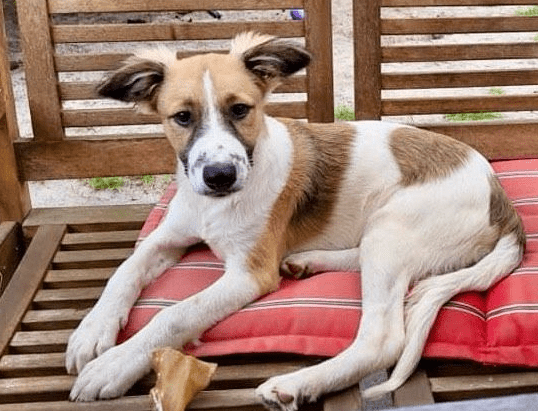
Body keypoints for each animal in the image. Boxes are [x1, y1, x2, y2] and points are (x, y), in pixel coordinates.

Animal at [65, 33, 520, 411]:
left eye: (241, 110)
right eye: (182, 117)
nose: (219, 176)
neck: (216, 205)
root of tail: (500, 197)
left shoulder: (249, 274)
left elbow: (175, 314)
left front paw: (114, 365)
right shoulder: (167, 237)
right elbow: (124, 271)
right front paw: (91, 331)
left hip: (393, 228)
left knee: (382, 339)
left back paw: (297, 383)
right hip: (382, 232)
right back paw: (308, 262)